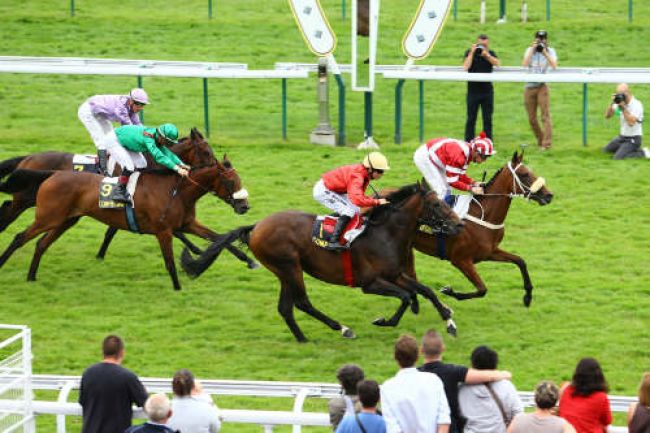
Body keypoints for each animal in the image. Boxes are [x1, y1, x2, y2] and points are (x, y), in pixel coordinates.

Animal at [0, 146, 248, 290]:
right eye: (231, 181)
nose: (245, 205)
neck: (176, 191)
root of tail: (52, 174)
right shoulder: (163, 231)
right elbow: (169, 262)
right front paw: (178, 287)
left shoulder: (188, 223)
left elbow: (219, 238)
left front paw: (248, 259)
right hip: (46, 216)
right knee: (19, 236)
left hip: (65, 220)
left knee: (41, 243)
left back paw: (32, 276)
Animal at [180, 184, 464, 342]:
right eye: (436, 204)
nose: (460, 224)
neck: (385, 233)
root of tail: (257, 226)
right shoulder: (371, 283)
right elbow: (405, 297)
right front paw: (384, 321)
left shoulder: (395, 274)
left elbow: (425, 290)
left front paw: (450, 322)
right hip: (289, 267)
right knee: (302, 303)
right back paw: (343, 329)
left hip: (284, 271)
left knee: (286, 307)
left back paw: (302, 338)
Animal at [410, 152, 552, 308]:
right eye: (524, 174)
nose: (549, 195)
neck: (483, 216)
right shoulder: (460, 260)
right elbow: (482, 289)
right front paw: (449, 291)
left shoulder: (489, 252)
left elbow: (520, 261)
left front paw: (528, 296)